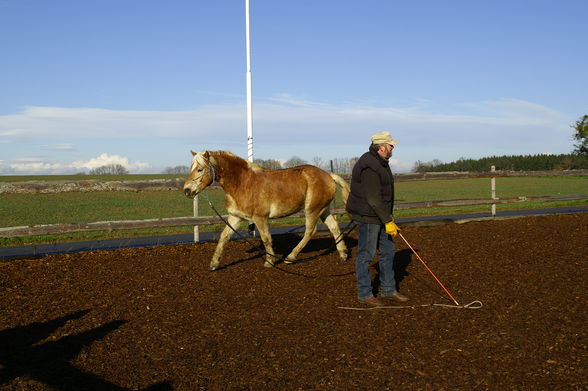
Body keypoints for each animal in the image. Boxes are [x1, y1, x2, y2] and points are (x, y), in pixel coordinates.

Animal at [184, 152, 350, 272]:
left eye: (200, 169)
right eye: (191, 168)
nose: (187, 190)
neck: (243, 183)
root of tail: (329, 175)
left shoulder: (260, 218)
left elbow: (266, 238)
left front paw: (270, 261)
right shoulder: (235, 218)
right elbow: (223, 238)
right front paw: (214, 264)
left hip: (312, 210)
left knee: (310, 231)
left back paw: (291, 257)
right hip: (323, 209)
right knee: (334, 227)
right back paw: (343, 254)